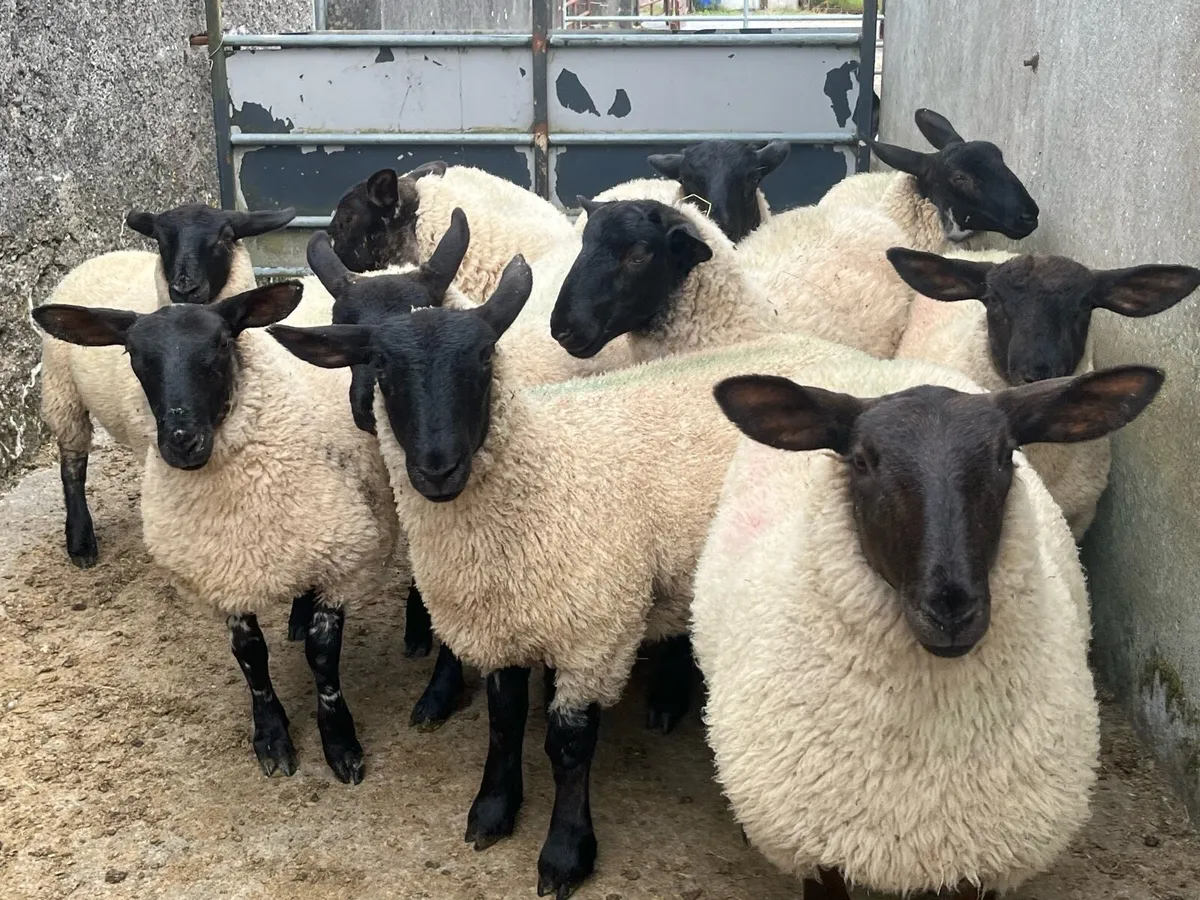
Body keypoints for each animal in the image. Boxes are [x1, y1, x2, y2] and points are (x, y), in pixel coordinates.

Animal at [30, 278, 448, 783]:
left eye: (223, 343)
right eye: (133, 353)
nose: (181, 441)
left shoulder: (344, 561)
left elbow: (322, 656)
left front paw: (340, 742)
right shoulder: (221, 573)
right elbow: (250, 656)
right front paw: (272, 737)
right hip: (65, 395)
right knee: (72, 462)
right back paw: (81, 542)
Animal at [38, 204, 296, 568]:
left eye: (225, 236)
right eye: (161, 239)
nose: (185, 288)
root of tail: (100, 256)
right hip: (62, 391)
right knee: (72, 464)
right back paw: (81, 543)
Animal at [267, 255, 868, 899]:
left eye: (485, 358)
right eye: (380, 363)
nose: (437, 469)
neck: (545, 472)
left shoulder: (595, 638)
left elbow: (569, 747)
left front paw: (565, 852)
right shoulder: (501, 625)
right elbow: (503, 723)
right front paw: (493, 810)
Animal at [693, 358, 1166, 899]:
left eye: (1006, 456)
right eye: (862, 461)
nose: (951, 609)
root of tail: (879, 363)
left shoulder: (978, 861)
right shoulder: (817, 850)